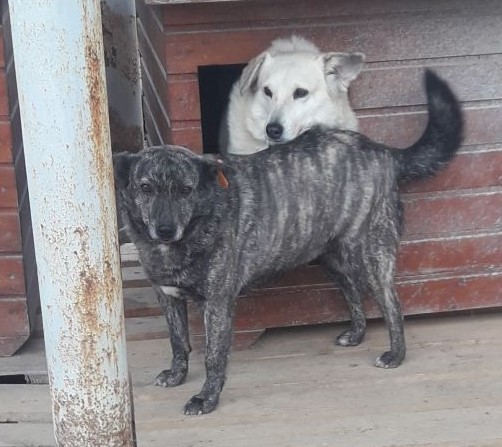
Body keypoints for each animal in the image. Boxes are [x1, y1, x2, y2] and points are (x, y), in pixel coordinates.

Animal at [114, 71, 462, 415]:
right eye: (145, 188)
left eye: (186, 190)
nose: (165, 229)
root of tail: (383, 151)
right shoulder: (167, 297)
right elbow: (177, 340)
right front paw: (177, 374)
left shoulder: (217, 304)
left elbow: (214, 356)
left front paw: (206, 398)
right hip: (332, 258)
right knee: (352, 290)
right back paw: (356, 334)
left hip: (370, 254)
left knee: (392, 304)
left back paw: (396, 355)